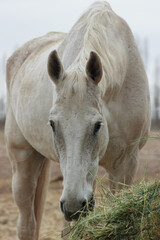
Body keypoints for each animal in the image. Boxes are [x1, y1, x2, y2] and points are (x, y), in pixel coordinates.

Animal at [4, 1, 150, 240]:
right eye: (52, 124)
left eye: (97, 125)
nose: (74, 206)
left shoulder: (127, 164)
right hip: (22, 160)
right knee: (27, 224)